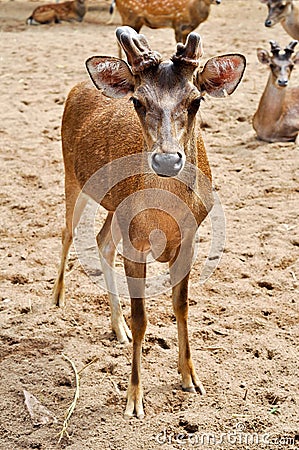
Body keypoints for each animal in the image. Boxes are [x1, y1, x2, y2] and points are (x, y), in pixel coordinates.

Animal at [54, 24, 246, 418]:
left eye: (196, 100)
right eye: (138, 102)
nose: (167, 159)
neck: (164, 216)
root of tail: (80, 86)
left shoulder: (189, 240)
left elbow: (181, 306)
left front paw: (191, 378)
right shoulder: (135, 243)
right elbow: (143, 318)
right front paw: (134, 399)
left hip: (114, 208)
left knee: (101, 241)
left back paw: (117, 328)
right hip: (72, 176)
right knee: (68, 232)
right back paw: (58, 299)